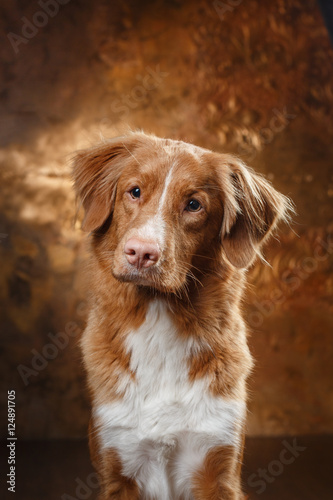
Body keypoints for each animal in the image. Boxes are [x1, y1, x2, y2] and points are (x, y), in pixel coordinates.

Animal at [72, 132, 290, 500]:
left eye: (193, 205)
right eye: (135, 191)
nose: (141, 253)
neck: (160, 317)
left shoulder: (217, 461)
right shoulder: (118, 460)